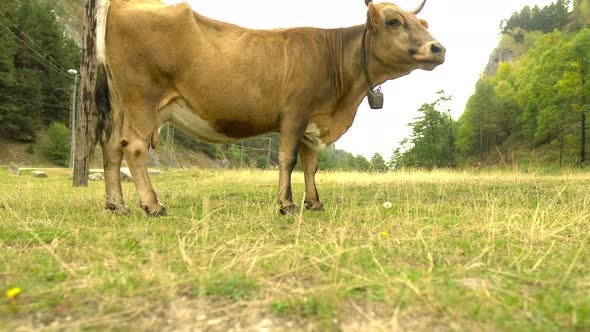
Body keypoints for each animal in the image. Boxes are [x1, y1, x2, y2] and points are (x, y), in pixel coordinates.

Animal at [93, 0, 444, 217]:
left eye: (422, 22)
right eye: (394, 20)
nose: (438, 48)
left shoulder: (312, 122)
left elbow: (311, 165)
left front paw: (314, 202)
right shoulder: (294, 113)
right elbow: (288, 159)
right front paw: (286, 204)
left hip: (121, 103)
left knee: (111, 146)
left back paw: (116, 205)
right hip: (142, 98)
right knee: (134, 146)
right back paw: (152, 205)